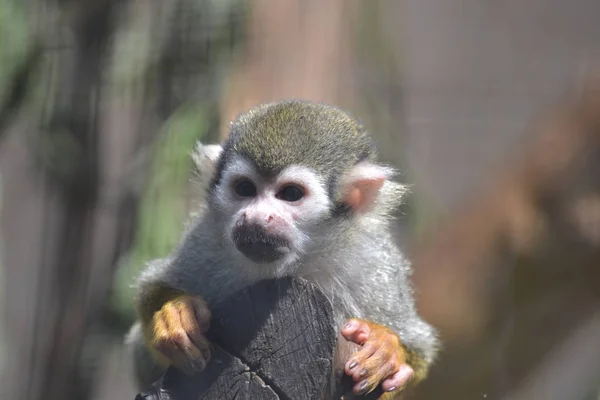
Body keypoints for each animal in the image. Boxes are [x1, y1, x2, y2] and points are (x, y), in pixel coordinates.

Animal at [125, 99, 436, 396]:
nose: (256, 217)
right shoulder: (207, 237)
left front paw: (388, 351)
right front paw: (176, 312)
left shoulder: (372, 261)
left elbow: (420, 346)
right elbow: (150, 286)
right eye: (245, 189)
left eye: (291, 194)